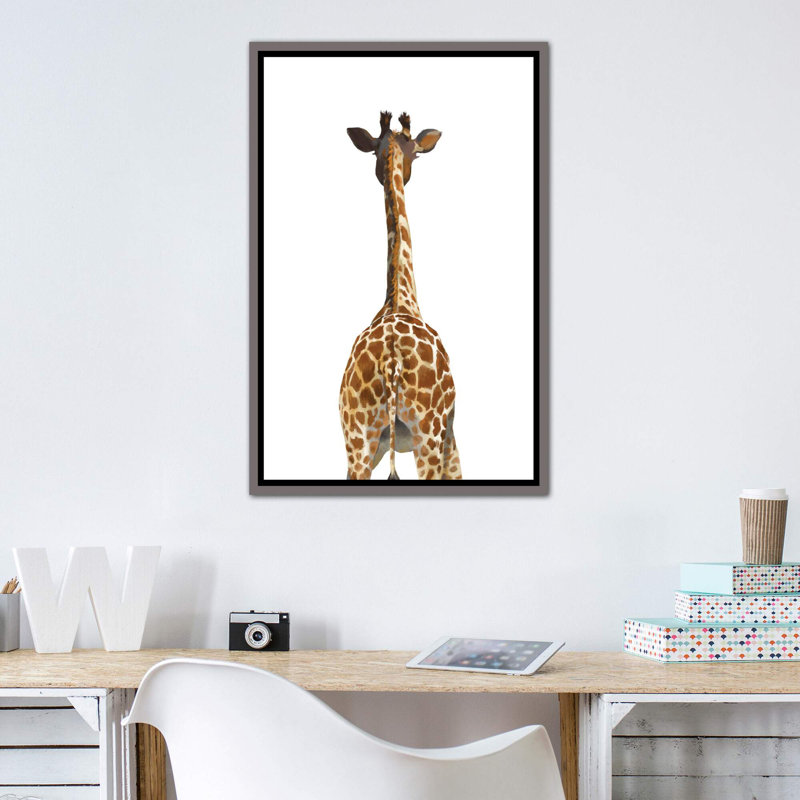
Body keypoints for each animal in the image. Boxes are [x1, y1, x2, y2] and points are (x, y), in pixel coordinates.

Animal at [339, 111, 462, 481]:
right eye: (417, 155)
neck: (401, 298)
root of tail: (390, 362)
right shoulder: (452, 436)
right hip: (428, 434)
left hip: (358, 441)